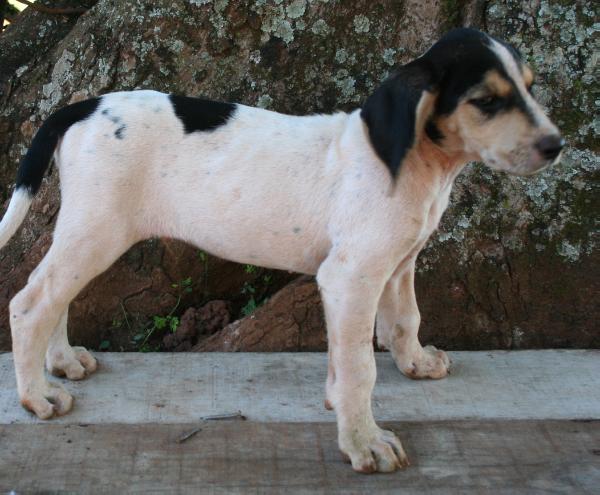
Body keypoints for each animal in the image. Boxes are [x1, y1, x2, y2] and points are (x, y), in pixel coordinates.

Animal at [0, 28, 564, 476]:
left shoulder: (397, 265)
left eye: (530, 87)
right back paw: (37, 395)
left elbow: (403, 322)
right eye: (486, 101)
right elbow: (359, 367)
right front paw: (364, 441)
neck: (415, 162)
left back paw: (61, 361)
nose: (556, 145)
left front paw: (416, 364)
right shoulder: (349, 279)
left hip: (89, 232)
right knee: (30, 303)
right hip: (98, 232)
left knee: (57, 297)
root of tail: (85, 105)